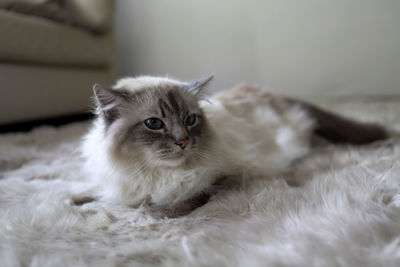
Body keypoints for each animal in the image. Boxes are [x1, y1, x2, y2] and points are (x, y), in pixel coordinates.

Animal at [79, 75, 386, 211]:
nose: (183, 142)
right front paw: (79, 200)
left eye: (190, 120)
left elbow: (171, 204)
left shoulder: (227, 177)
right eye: (154, 124)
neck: (153, 172)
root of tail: (273, 93)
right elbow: (96, 192)